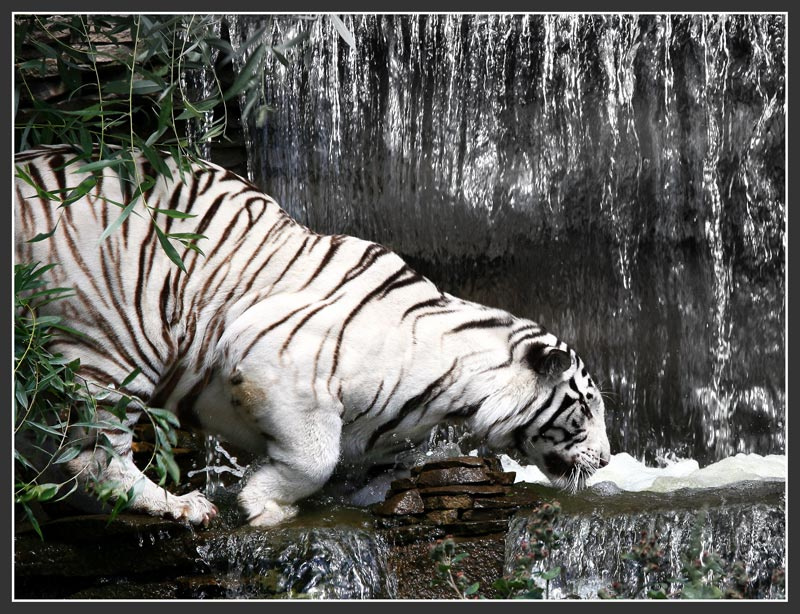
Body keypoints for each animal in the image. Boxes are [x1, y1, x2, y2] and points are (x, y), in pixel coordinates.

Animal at [14, 145, 611, 527]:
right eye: (584, 409)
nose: (606, 461)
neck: (456, 389)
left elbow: (368, 469)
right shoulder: (277, 363)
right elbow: (314, 458)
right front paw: (262, 504)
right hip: (114, 335)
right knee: (91, 453)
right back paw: (178, 506)